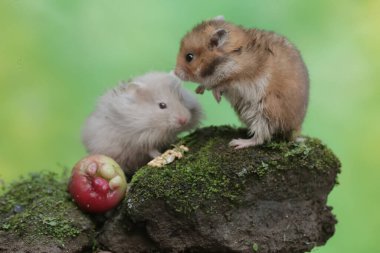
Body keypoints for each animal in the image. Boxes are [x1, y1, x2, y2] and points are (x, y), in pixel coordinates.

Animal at [175, 15, 308, 149]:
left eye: (189, 57)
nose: (175, 73)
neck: (227, 57)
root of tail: (296, 129)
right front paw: (199, 90)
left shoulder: (240, 77)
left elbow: (222, 84)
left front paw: (217, 97)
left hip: (266, 111)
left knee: (261, 136)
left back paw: (237, 143)